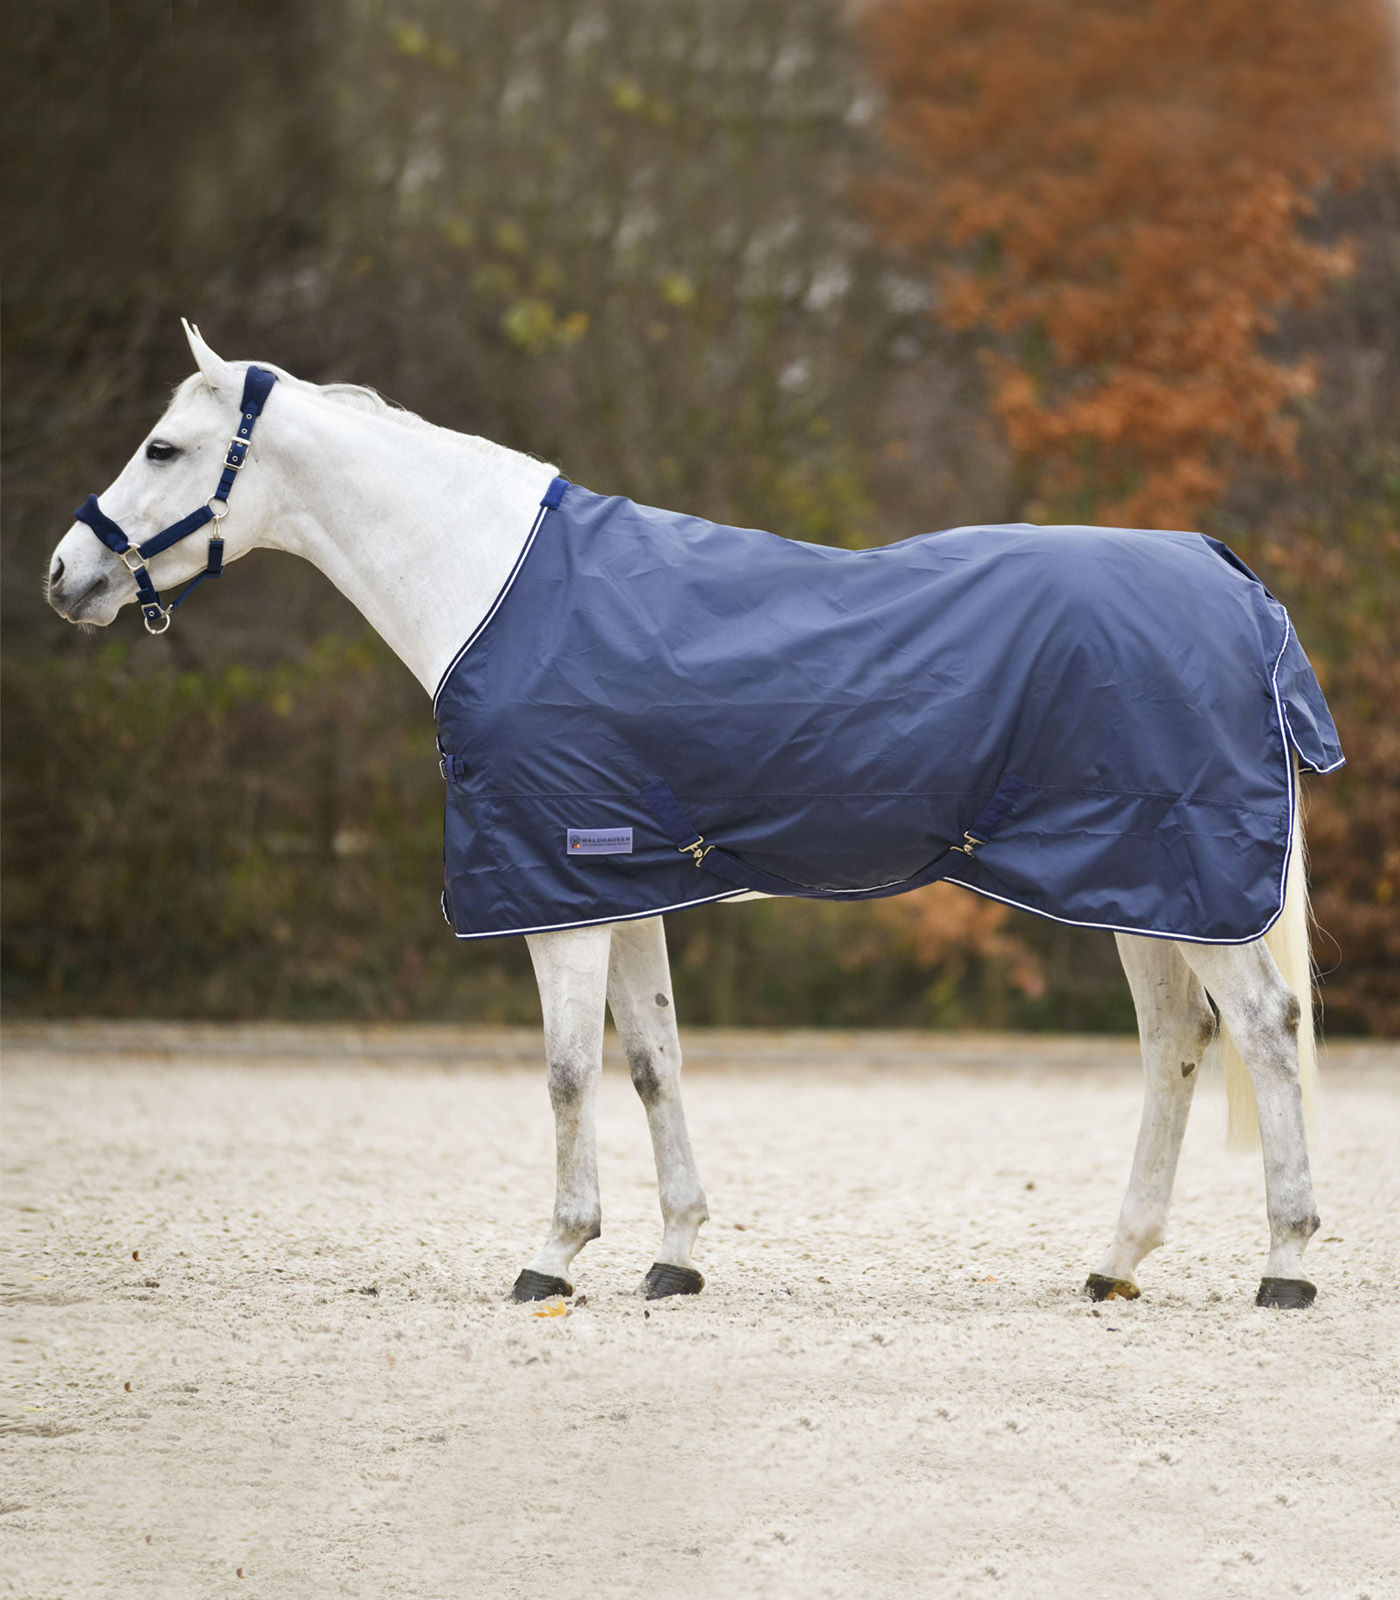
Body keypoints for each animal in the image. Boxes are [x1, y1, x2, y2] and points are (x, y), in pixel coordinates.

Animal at [46, 321, 1334, 1310]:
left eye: (163, 445)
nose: (65, 576)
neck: (496, 587)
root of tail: (1234, 584)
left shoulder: (559, 890)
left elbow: (568, 1072)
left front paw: (553, 1256)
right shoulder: (623, 883)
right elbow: (652, 1063)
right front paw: (672, 1256)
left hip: (1178, 882)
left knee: (1262, 1030)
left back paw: (1283, 1264)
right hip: (1141, 886)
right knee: (1174, 1042)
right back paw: (1114, 1263)